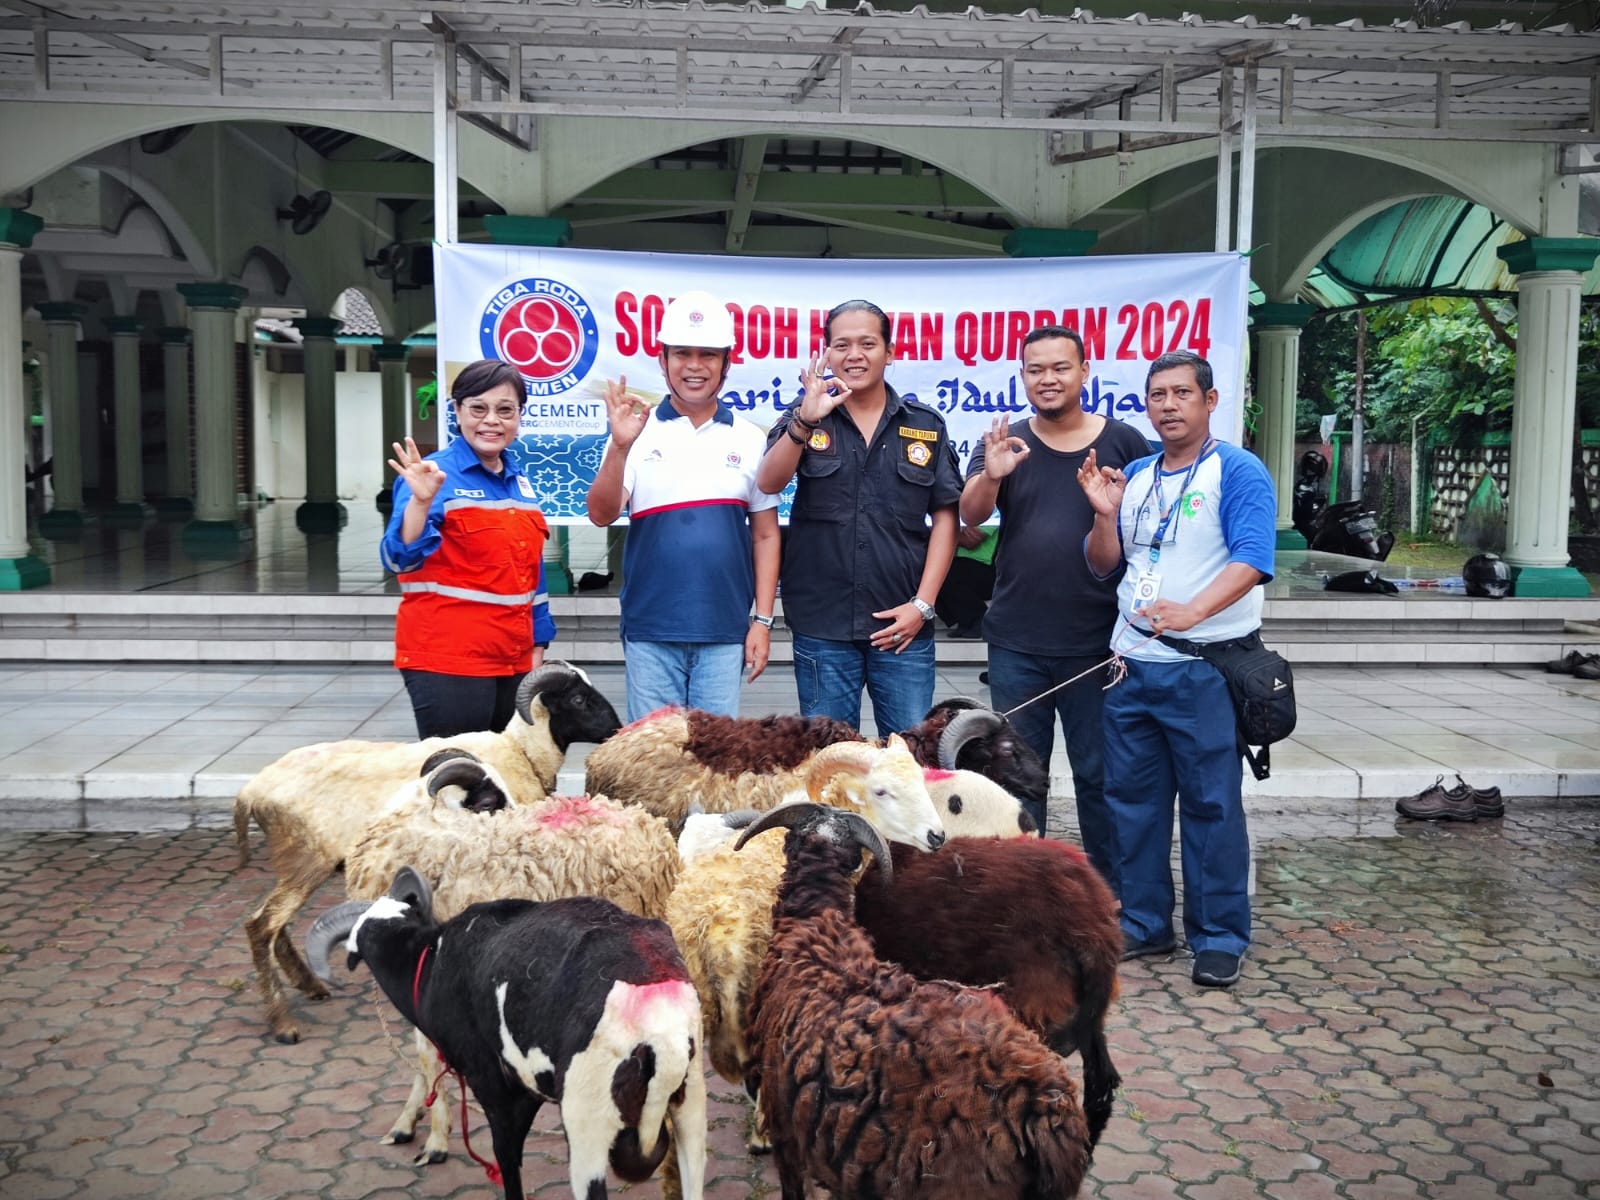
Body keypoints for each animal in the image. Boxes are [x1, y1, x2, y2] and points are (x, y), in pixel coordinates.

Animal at [233, 662, 620, 1049]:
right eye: (578, 699)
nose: (615, 729)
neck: (520, 752)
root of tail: (250, 792)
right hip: (307, 859)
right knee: (261, 925)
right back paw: (283, 1022)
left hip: (294, 861)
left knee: (273, 921)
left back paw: (309, 985)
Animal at [307, 870, 707, 1200]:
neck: (429, 963)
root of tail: (662, 1032)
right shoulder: (526, 1089)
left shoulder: (494, 1086)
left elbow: (507, 1161)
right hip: (691, 1106)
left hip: (587, 1121)